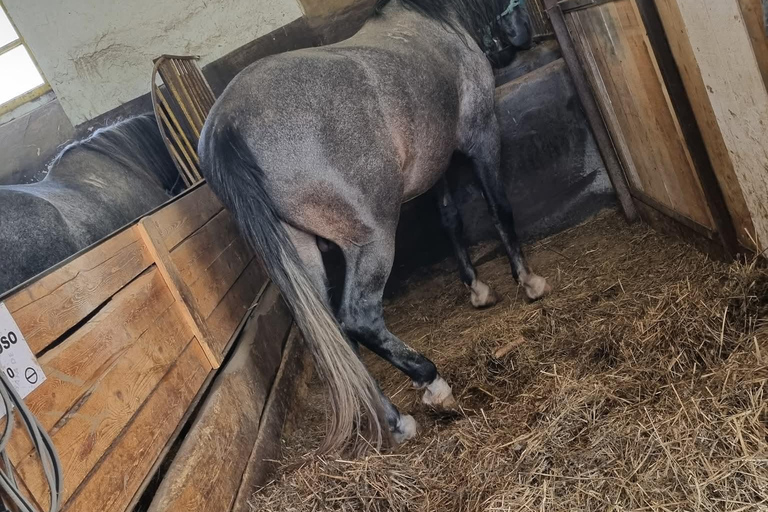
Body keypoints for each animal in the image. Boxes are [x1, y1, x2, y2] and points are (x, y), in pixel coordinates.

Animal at [199, 0, 551, 452]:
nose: (524, 31)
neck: (439, 23)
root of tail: (227, 126)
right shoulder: (482, 135)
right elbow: (499, 209)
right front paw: (529, 282)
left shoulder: (436, 166)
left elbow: (450, 219)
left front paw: (478, 289)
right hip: (373, 238)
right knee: (359, 318)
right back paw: (432, 385)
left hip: (302, 252)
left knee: (340, 334)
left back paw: (396, 421)